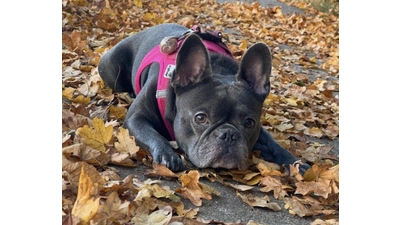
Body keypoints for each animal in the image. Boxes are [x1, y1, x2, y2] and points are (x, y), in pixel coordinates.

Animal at [97, 23, 310, 172]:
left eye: (249, 123)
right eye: (200, 118)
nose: (229, 135)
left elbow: (273, 144)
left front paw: (296, 164)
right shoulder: (136, 119)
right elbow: (152, 134)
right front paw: (167, 154)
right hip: (111, 68)